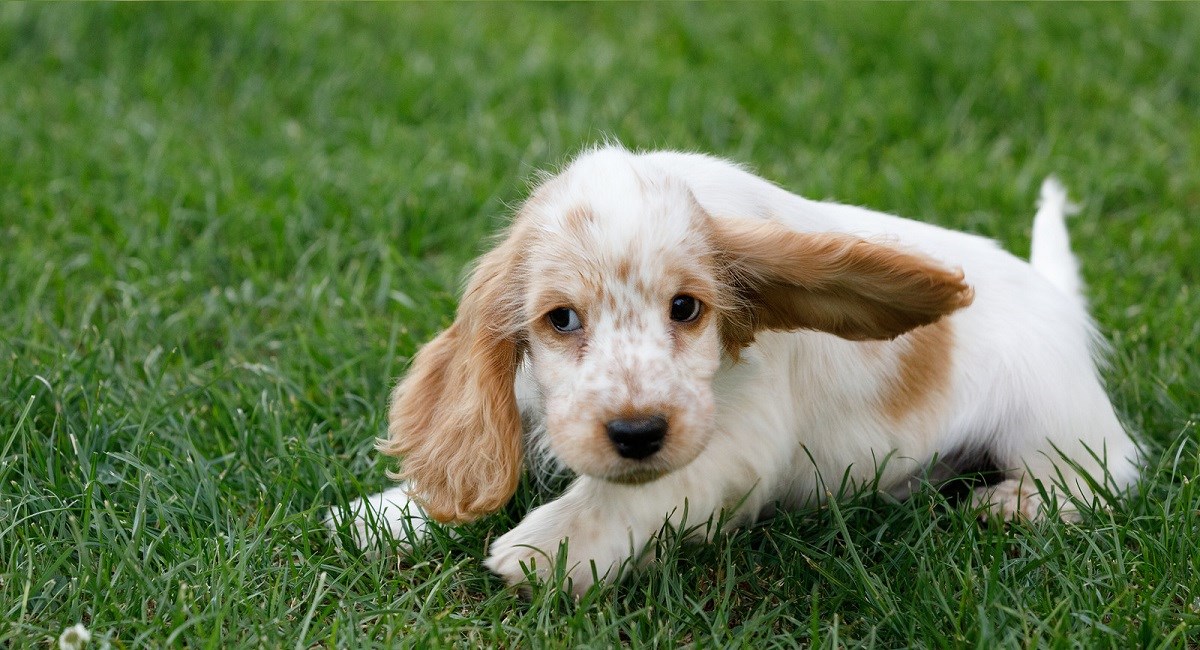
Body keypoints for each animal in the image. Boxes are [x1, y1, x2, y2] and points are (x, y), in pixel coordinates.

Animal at [324, 146, 1137, 597]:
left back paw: (1012, 504)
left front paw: (550, 546)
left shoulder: (741, 436)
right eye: (561, 319)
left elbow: (638, 490)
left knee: (1107, 473)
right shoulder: (536, 398)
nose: (636, 431)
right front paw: (381, 515)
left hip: (1051, 419)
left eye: (687, 308)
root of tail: (1054, 295)